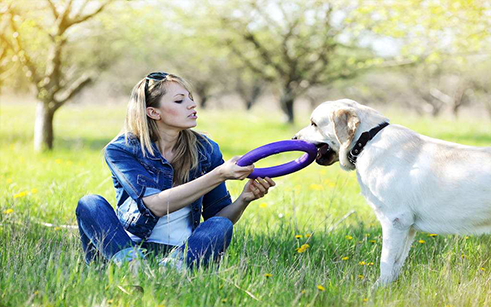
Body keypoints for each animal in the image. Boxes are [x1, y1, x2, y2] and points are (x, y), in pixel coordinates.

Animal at [294, 98, 491, 286]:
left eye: (314, 123)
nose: (294, 137)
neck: (366, 141)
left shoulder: (395, 221)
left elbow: (386, 263)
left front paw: (377, 289)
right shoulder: (408, 228)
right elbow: (397, 263)